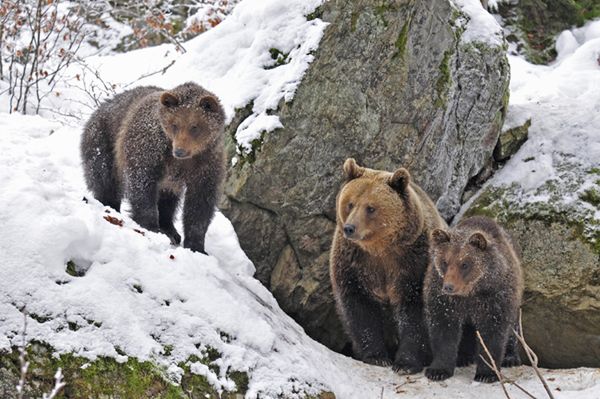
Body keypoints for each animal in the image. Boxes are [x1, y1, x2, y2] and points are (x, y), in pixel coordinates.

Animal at [79, 82, 225, 255]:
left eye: (194, 127)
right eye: (175, 125)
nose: (180, 151)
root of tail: (101, 107)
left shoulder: (206, 164)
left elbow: (200, 203)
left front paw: (197, 246)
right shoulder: (148, 146)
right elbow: (142, 184)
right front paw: (152, 227)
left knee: (168, 199)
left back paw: (171, 230)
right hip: (103, 141)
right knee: (105, 180)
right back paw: (110, 207)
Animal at [328, 158, 446, 374]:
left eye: (370, 207)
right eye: (350, 203)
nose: (350, 228)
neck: (380, 249)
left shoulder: (414, 264)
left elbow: (415, 313)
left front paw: (406, 363)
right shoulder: (353, 264)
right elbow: (360, 309)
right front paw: (376, 356)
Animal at [424, 219, 524, 384]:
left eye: (464, 264)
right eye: (445, 262)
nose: (449, 287)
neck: (470, 293)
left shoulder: (494, 298)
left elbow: (492, 334)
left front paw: (487, 373)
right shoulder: (444, 300)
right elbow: (444, 331)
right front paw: (437, 371)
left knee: (512, 326)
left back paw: (510, 358)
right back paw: (463, 358)